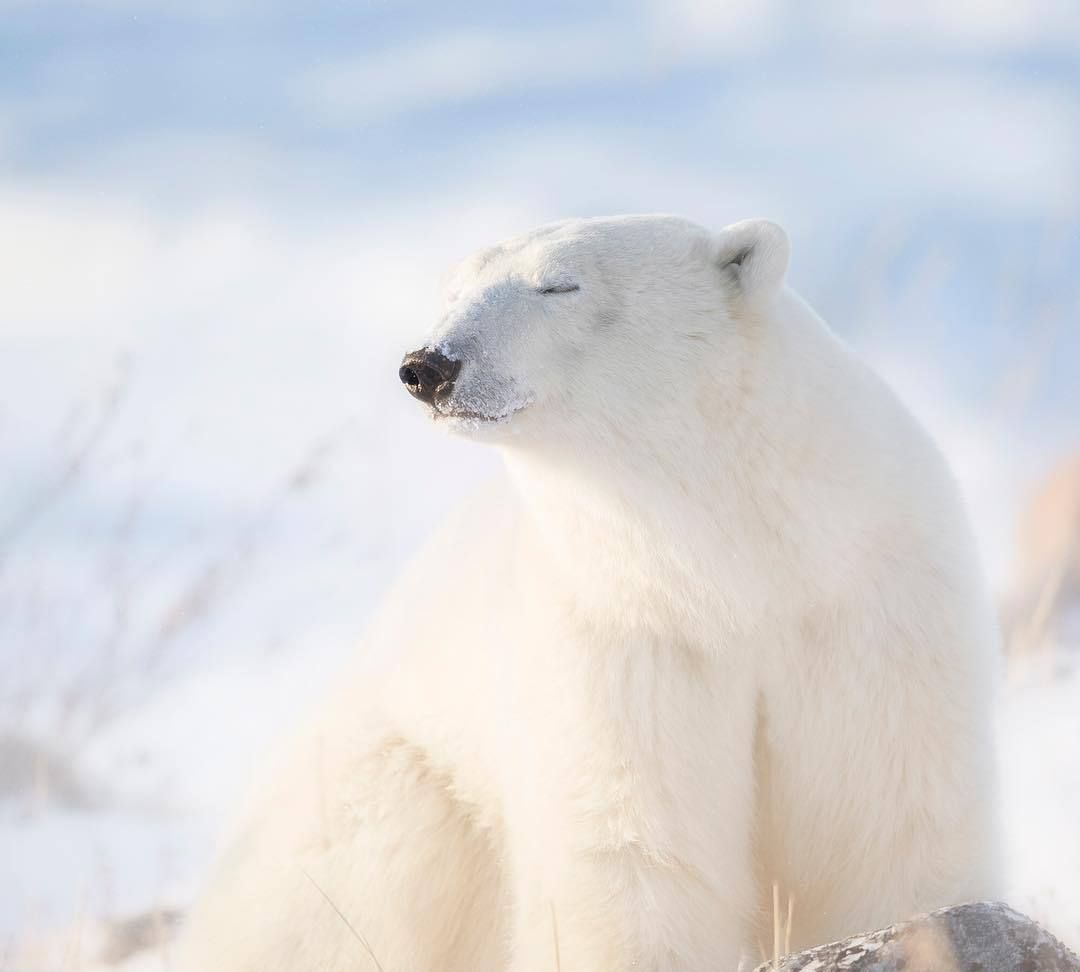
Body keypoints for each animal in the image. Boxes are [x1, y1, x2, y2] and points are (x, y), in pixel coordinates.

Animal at [172, 214, 997, 972]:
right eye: (454, 290)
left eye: (558, 285)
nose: (428, 365)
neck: (739, 569)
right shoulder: (622, 630)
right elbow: (630, 853)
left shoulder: (865, 607)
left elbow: (890, 820)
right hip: (375, 795)